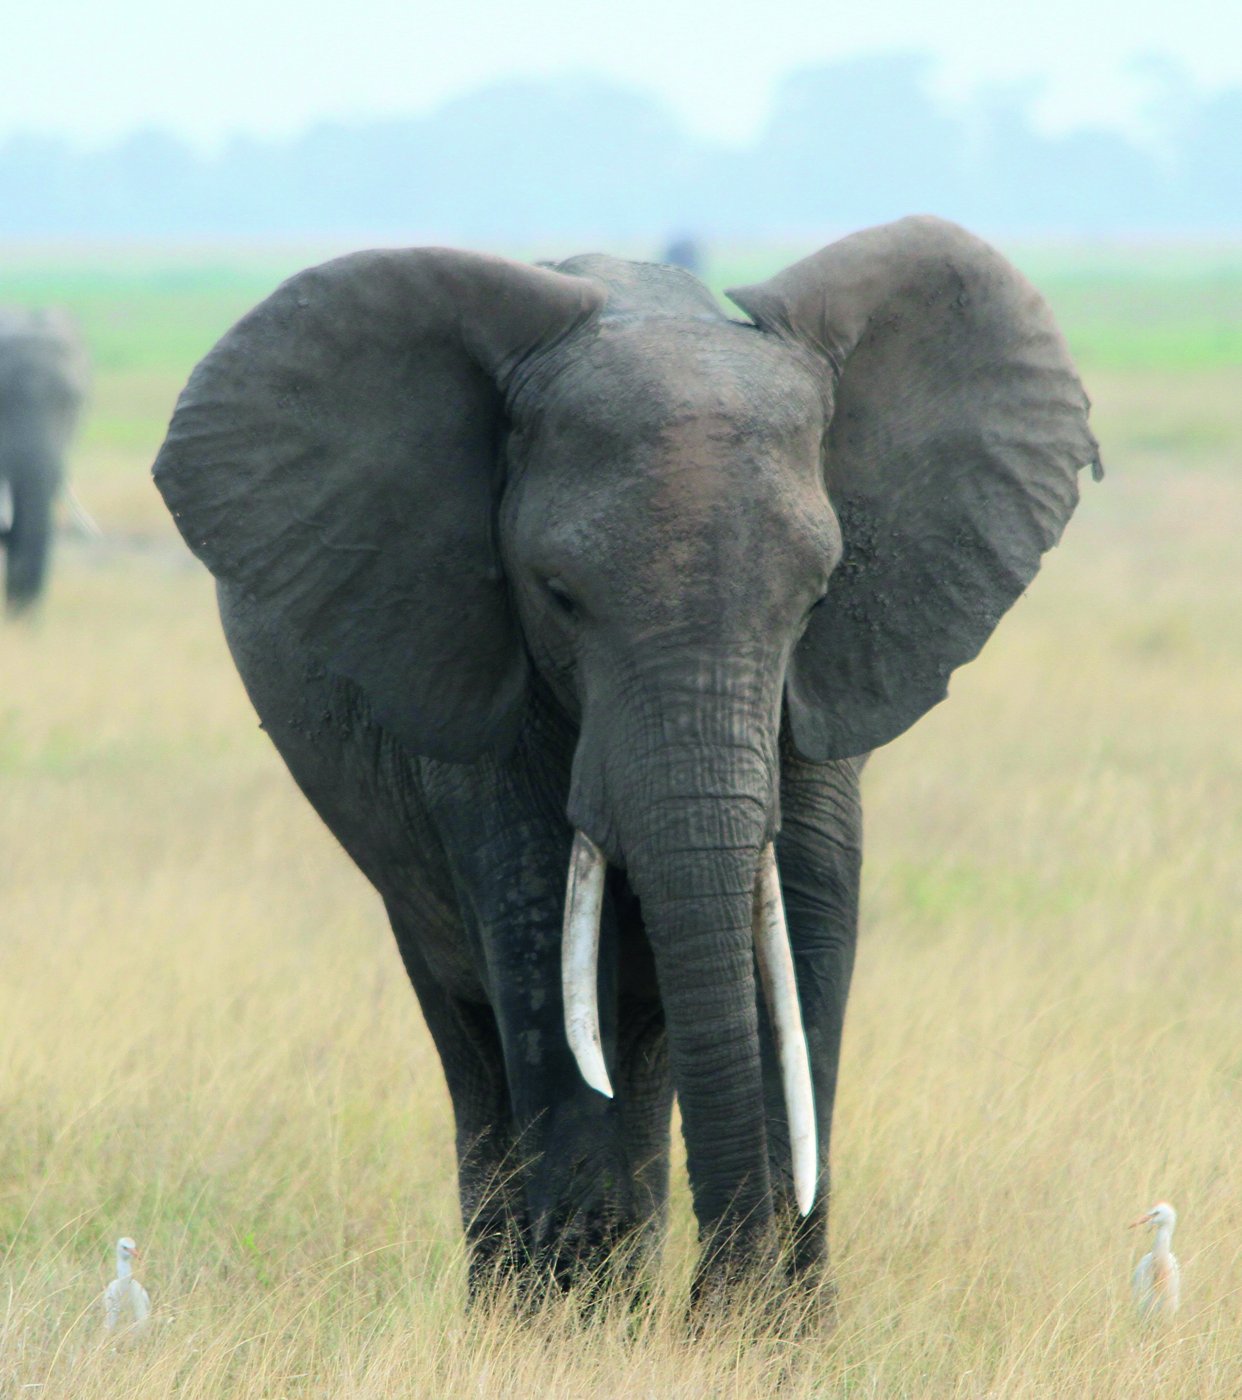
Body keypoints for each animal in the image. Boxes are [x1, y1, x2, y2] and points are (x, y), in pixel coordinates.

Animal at [152, 216, 1100, 1310]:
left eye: (818, 596)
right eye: (558, 595)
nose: (718, 1308)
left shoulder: (826, 692)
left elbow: (810, 929)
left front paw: (775, 1331)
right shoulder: (482, 689)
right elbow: (541, 945)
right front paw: (574, 1323)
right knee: (476, 1031)